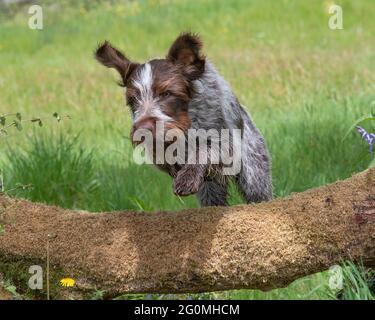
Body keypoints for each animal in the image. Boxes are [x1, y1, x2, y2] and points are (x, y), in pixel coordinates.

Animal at [96, 32, 274, 206]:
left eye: (166, 93)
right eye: (133, 100)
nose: (143, 128)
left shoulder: (224, 142)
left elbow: (205, 150)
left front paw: (187, 178)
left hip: (254, 175)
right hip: (210, 190)